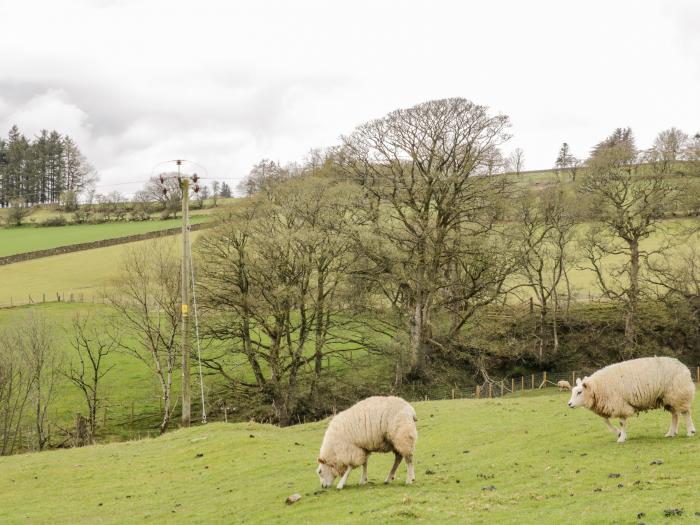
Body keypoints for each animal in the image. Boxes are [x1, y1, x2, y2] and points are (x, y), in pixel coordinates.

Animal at [568, 356, 696, 442]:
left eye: (579, 392)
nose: (569, 404)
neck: (598, 387)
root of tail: (685, 368)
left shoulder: (620, 404)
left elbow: (621, 422)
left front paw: (621, 438)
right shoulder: (610, 405)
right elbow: (606, 421)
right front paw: (618, 433)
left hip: (679, 394)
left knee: (685, 413)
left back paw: (690, 431)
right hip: (669, 398)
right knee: (675, 414)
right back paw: (671, 433)